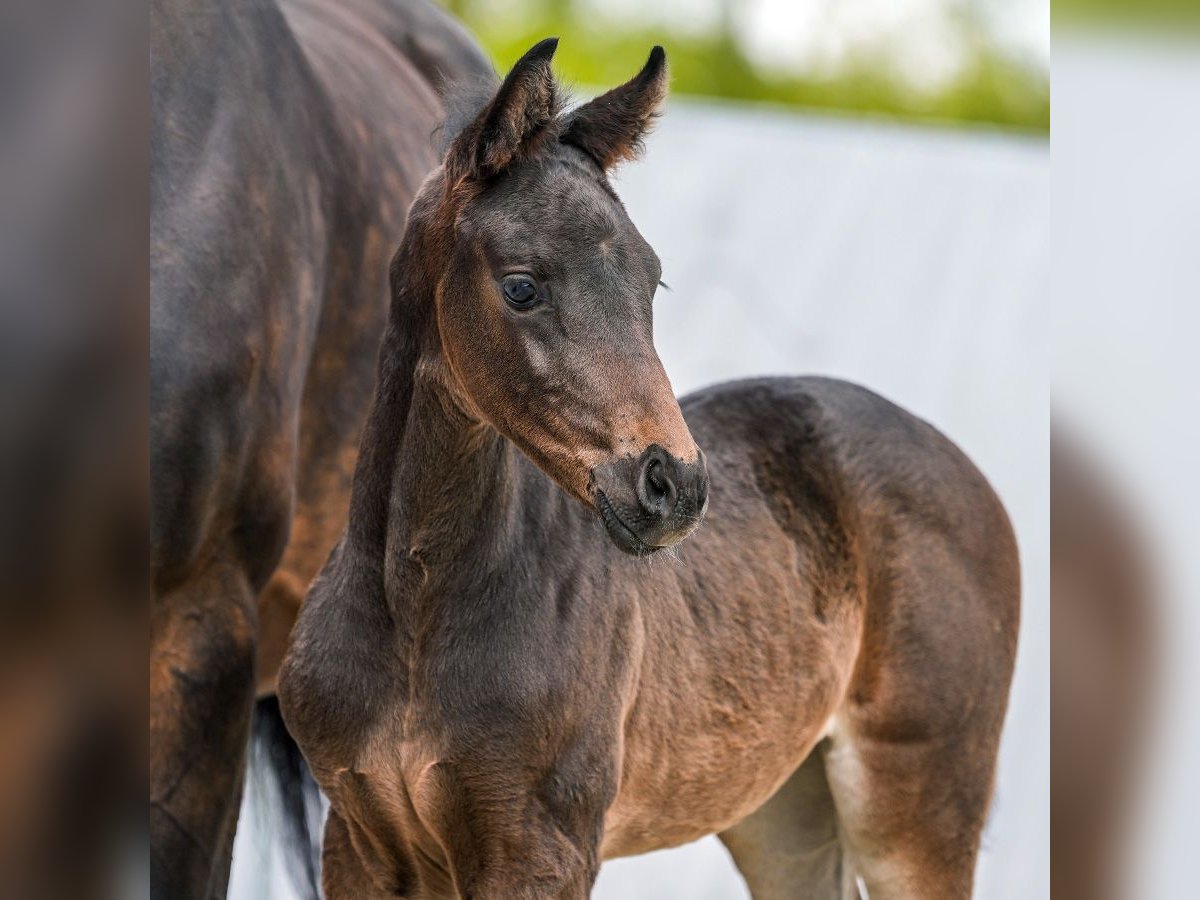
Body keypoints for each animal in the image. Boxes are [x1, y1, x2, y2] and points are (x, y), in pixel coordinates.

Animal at [276, 40, 1017, 900]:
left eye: (651, 278)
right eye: (521, 285)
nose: (676, 486)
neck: (414, 613)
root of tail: (963, 467)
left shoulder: (540, 848)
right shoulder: (361, 843)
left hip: (918, 809)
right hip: (782, 807)